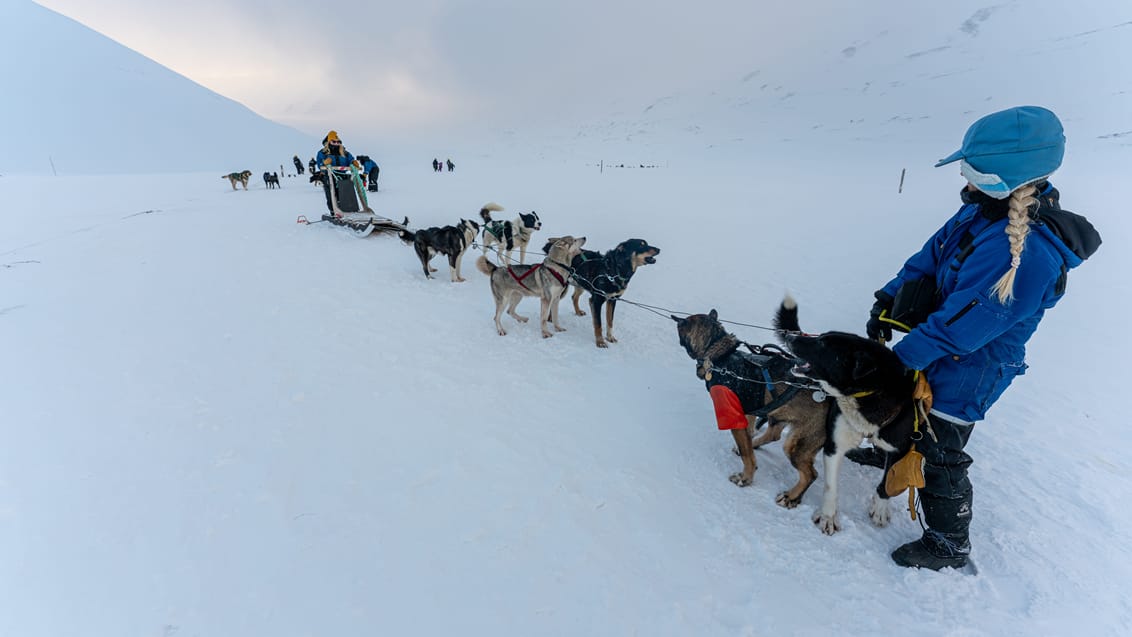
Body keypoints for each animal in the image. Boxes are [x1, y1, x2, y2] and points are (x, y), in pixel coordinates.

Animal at [674, 310, 837, 509]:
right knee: (773, 434)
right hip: (779, 414)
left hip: (798, 444)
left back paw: (791, 496)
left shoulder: (734, 417)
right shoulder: (749, 411)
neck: (720, 356)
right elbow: (749, 436)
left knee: (810, 474)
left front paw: (745, 478)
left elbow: (747, 455)